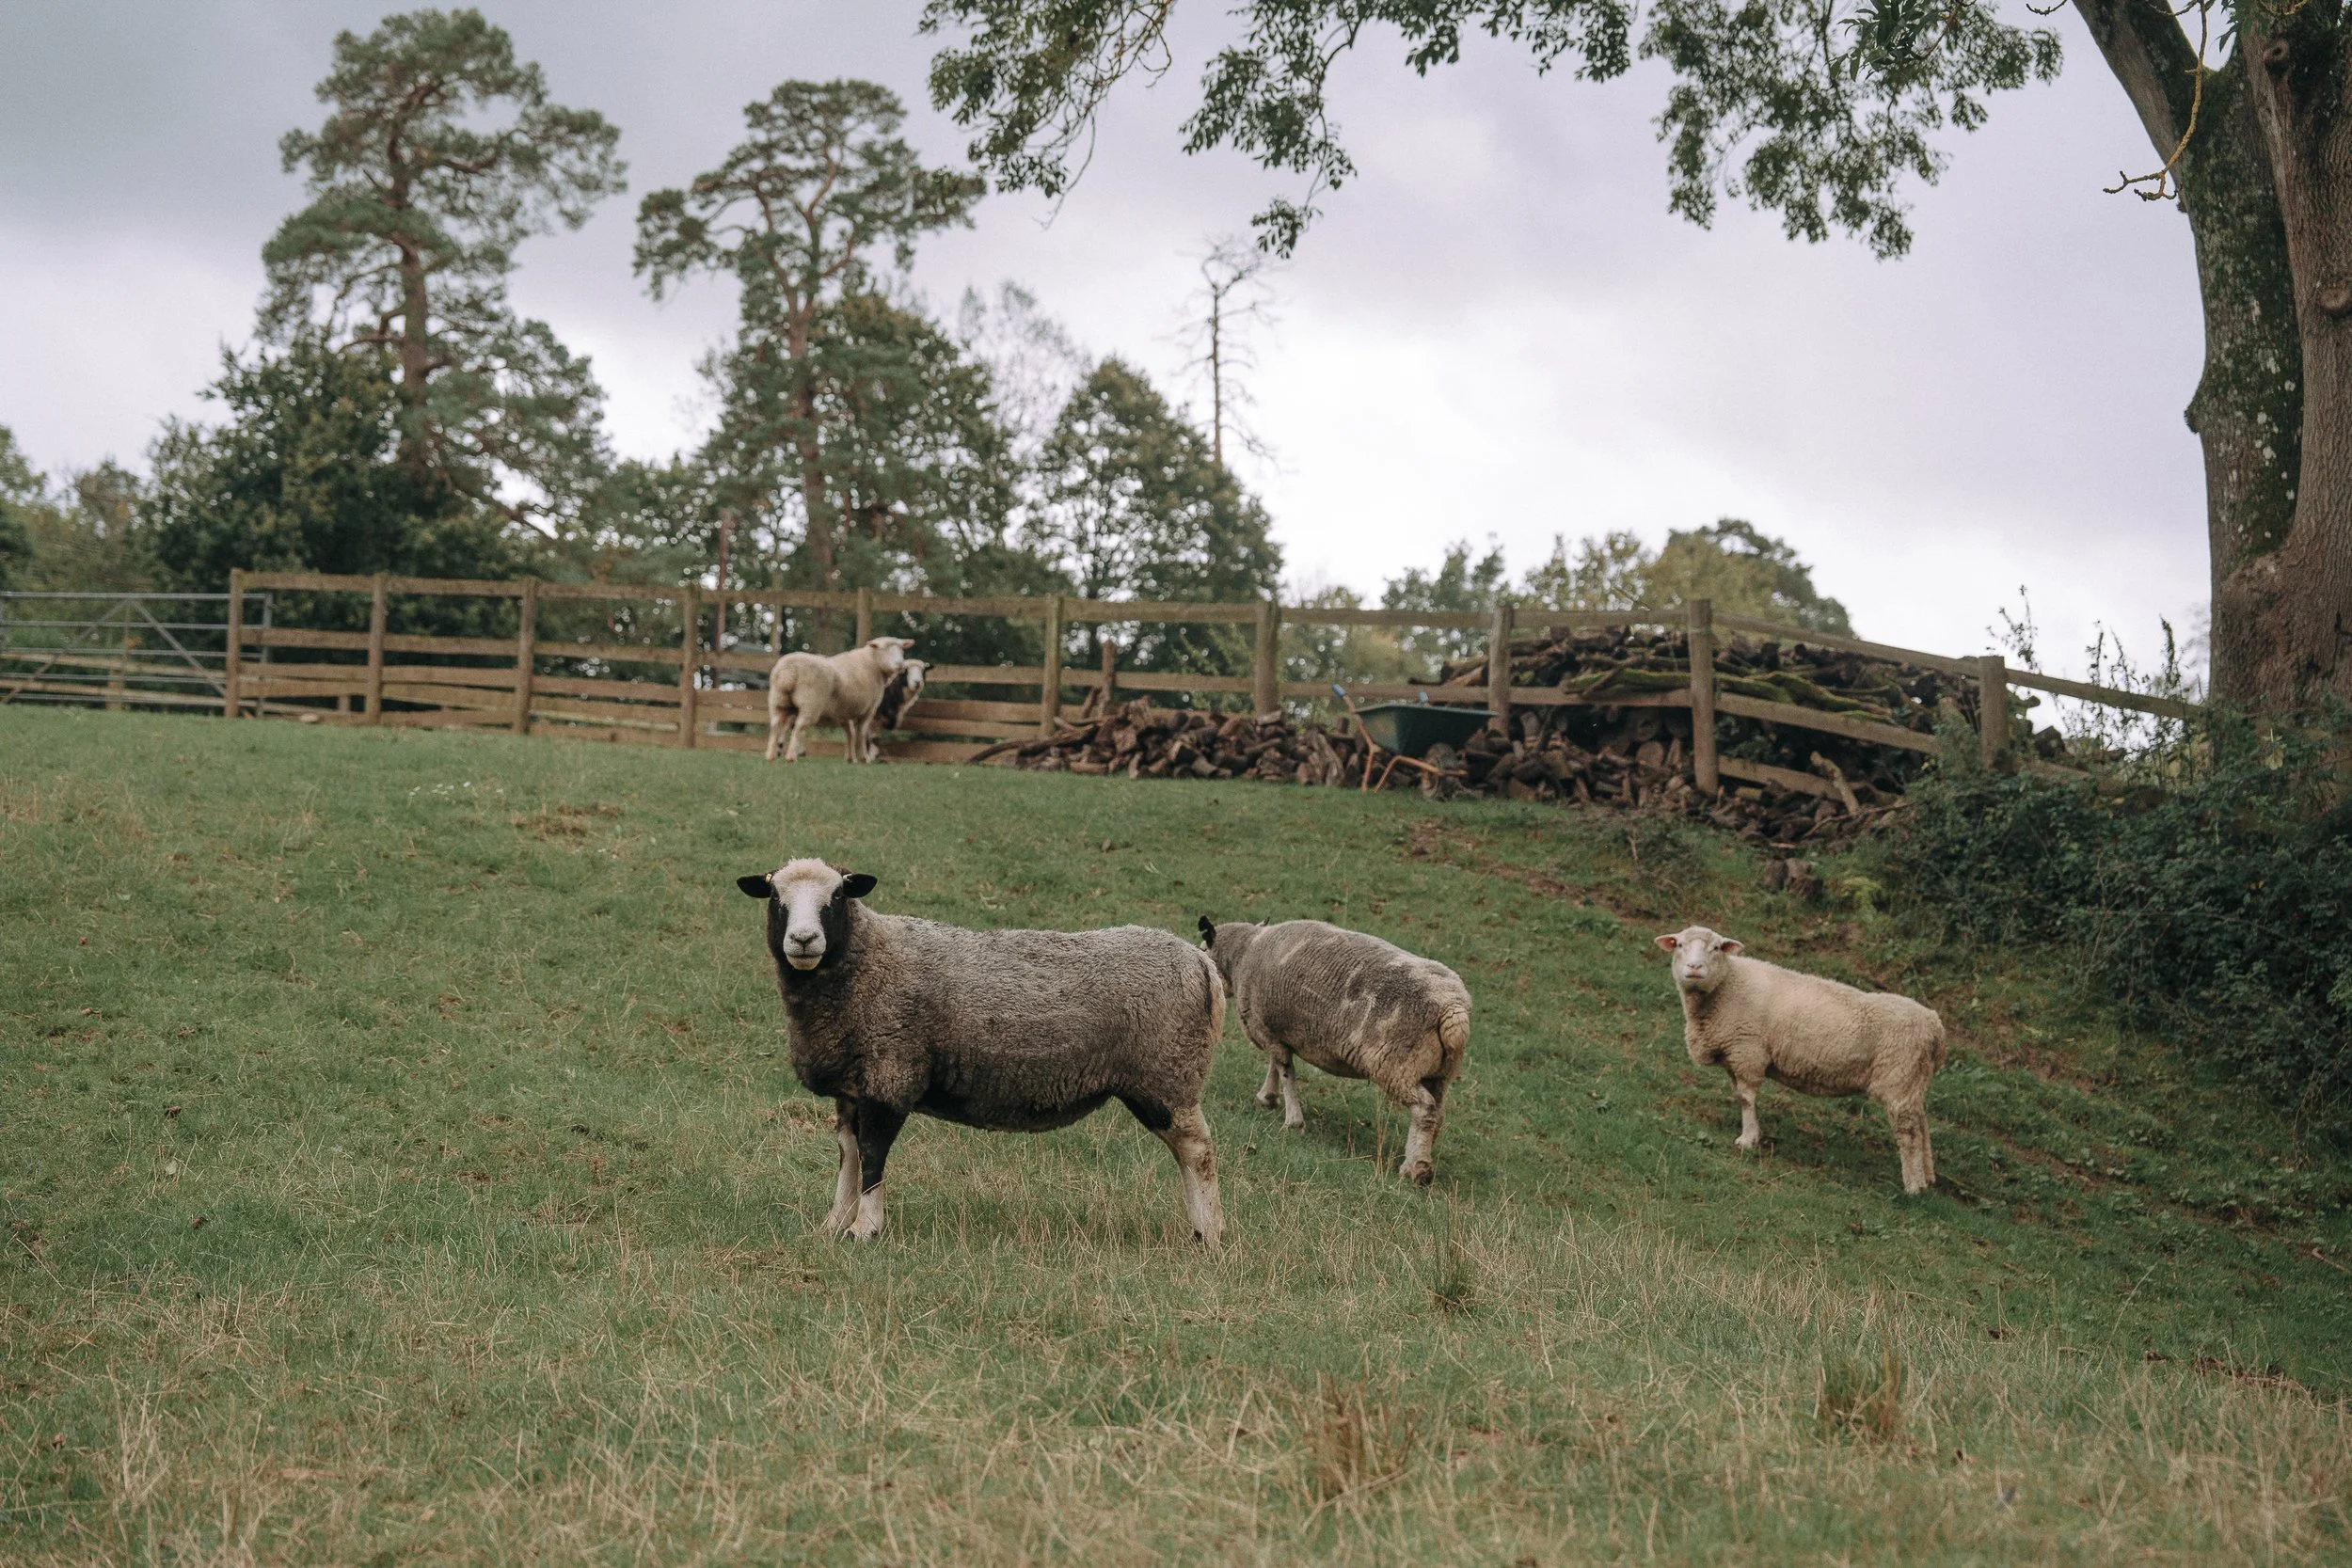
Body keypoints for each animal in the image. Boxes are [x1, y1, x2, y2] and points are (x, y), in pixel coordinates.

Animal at [738, 858, 1226, 1245]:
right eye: (776, 897)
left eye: (837, 896)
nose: (804, 939)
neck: (870, 960)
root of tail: (1201, 964)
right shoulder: (854, 1086)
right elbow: (849, 1155)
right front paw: (834, 1224)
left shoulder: (890, 1074)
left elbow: (873, 1155)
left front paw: (865, 1229)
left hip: (1168, 1073)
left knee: (1197, 1151)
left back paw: (1210, 1233)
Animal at [764, 637, 913, 763]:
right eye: (885, 649)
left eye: (901, 650)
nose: (900, 664)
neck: (872, 664)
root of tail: (788, 671)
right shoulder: (868, 710)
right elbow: (861, 733)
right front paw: (863, 758)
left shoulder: (844, 711)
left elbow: (850, 733)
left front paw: (850, 758)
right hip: (810, 704)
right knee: (799, 727)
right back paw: (791, 757)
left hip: (778, 701)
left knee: (775, 725)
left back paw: (770, 755)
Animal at [1197, 917, 1472, 1184]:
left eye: (1202, 950)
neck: (1246, 952)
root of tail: (1454, 1009)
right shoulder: (1275, 1030)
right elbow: (1275, 1066)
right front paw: (1268, 1097)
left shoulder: (1265, 1028)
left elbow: (1285, 1071)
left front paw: (1292, 1120)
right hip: (1438, 1072)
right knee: (1438, 1113)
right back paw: (1422, 1155)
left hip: (1398, 1066)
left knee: (1425, 1110)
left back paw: (1415, 1169)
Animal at [1656, 925, 1945, 1194]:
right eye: (1679, 944)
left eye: (1716, 948)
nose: (1694, 967)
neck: (1726, 985)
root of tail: (1935, 1027)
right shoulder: (1734, 1055)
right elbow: (1739, 1095)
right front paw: (1752, 1134)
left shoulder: (1748, 1051)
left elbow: (1746, 1099)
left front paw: (1747, 1140)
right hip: (1913, 1080)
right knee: (1922, 1125)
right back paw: (1928, 1178)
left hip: (1899, 1078)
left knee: (1909, 1133)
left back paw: (1913, 1187)